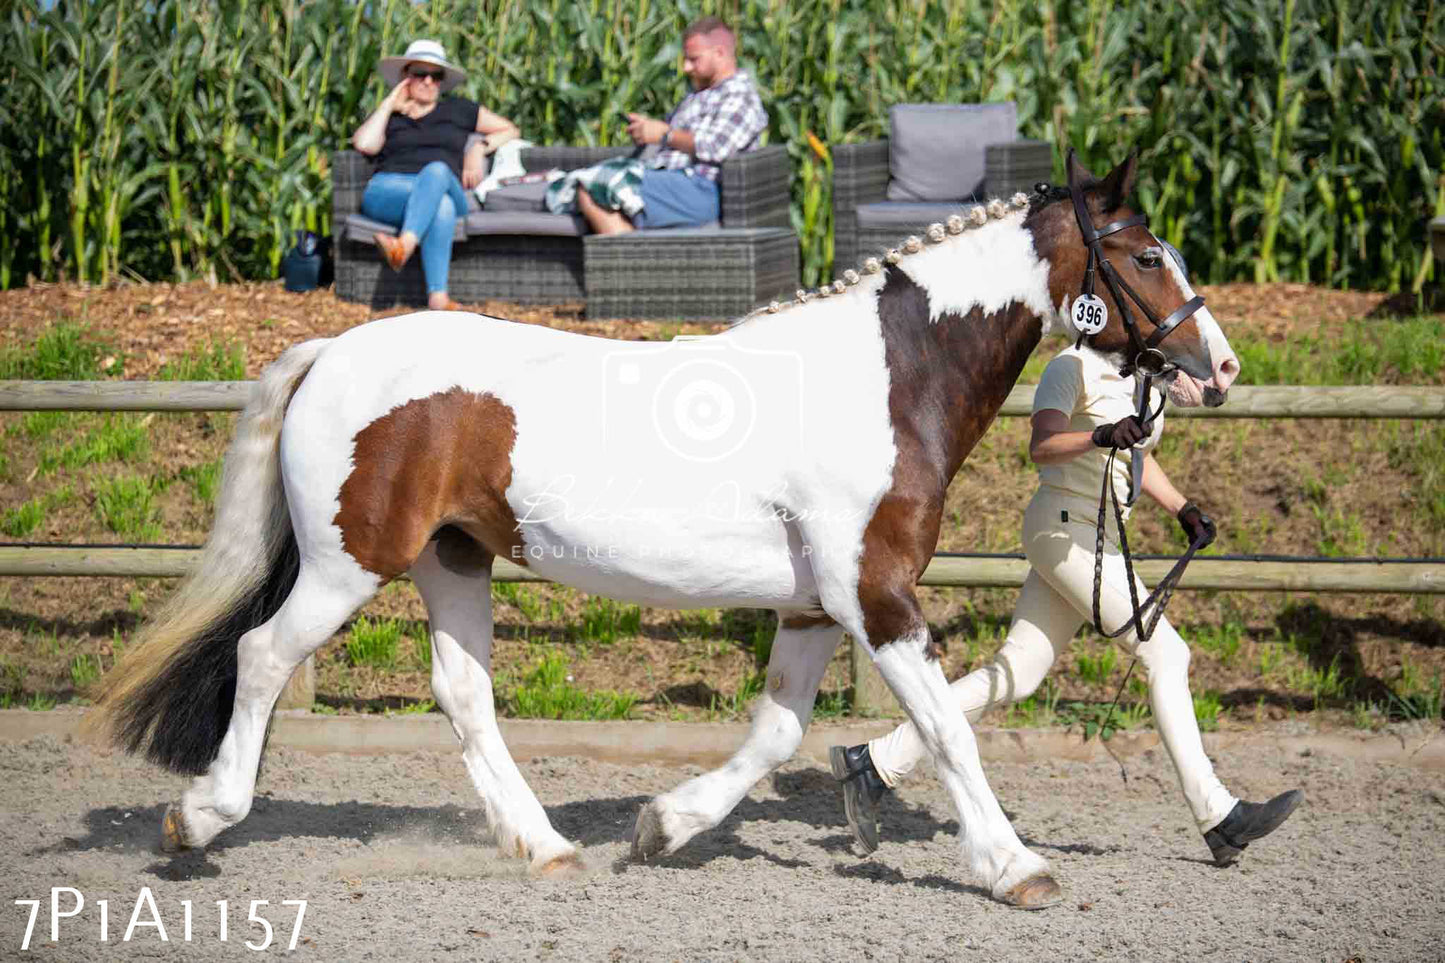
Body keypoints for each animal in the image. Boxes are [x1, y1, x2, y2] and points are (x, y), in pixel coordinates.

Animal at [93, 153, 1242, 902]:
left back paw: (545, 847)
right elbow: (946, 728)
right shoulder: (874, 594)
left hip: (454, 561)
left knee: (462, 696)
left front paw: (664, 825)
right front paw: (1014, 867)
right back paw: (199, 817)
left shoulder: (813, 605)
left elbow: (776, 730)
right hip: (347, 564)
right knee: (260, 654)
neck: (888, 378)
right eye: (1145, 256)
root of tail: (330, 350)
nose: (1217, 366)